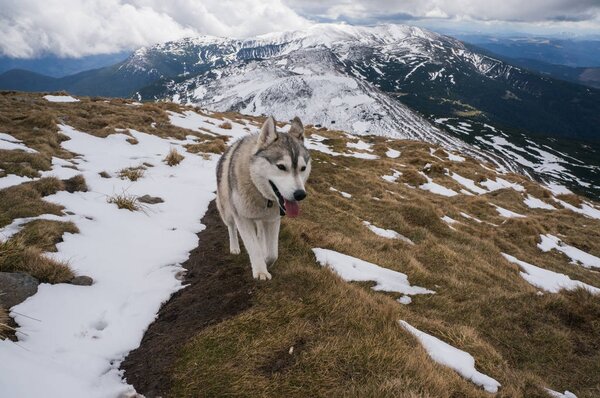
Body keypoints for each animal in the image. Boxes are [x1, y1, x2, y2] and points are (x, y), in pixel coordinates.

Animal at [216, 116, 312, 280]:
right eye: (281, 167)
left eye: (303, 168)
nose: (300, 194)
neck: (261, 195)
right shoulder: (242, 218)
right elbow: (253, 247)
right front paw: (261, 271)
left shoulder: (273, 220)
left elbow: (273, 254)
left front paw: (266, 260)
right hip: (227, 210)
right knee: (231, 227)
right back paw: (234, 247)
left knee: (260, 234)